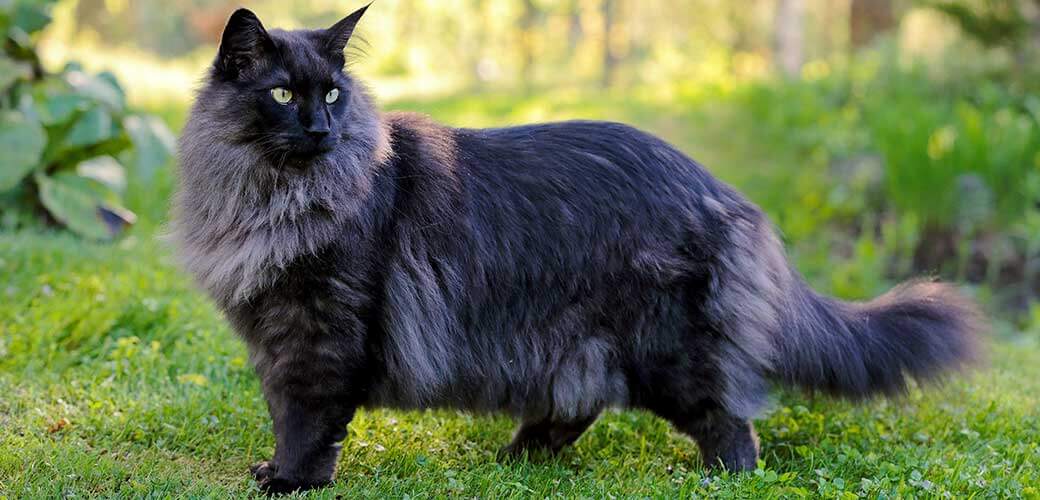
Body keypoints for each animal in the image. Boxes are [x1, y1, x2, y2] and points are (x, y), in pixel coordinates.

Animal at [172, 4, 981, 494]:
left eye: (334, 94)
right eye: (283, 95)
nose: (320, 128)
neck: (276, 197)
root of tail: (721, 189)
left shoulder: (318, 332)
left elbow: (306, 419)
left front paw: (289, 479)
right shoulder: (276, 335)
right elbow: (287, 411)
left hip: (668, 349)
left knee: (730, 421)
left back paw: (717, 479)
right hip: (572, 343)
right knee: (577, 406)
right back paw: (515, 460)